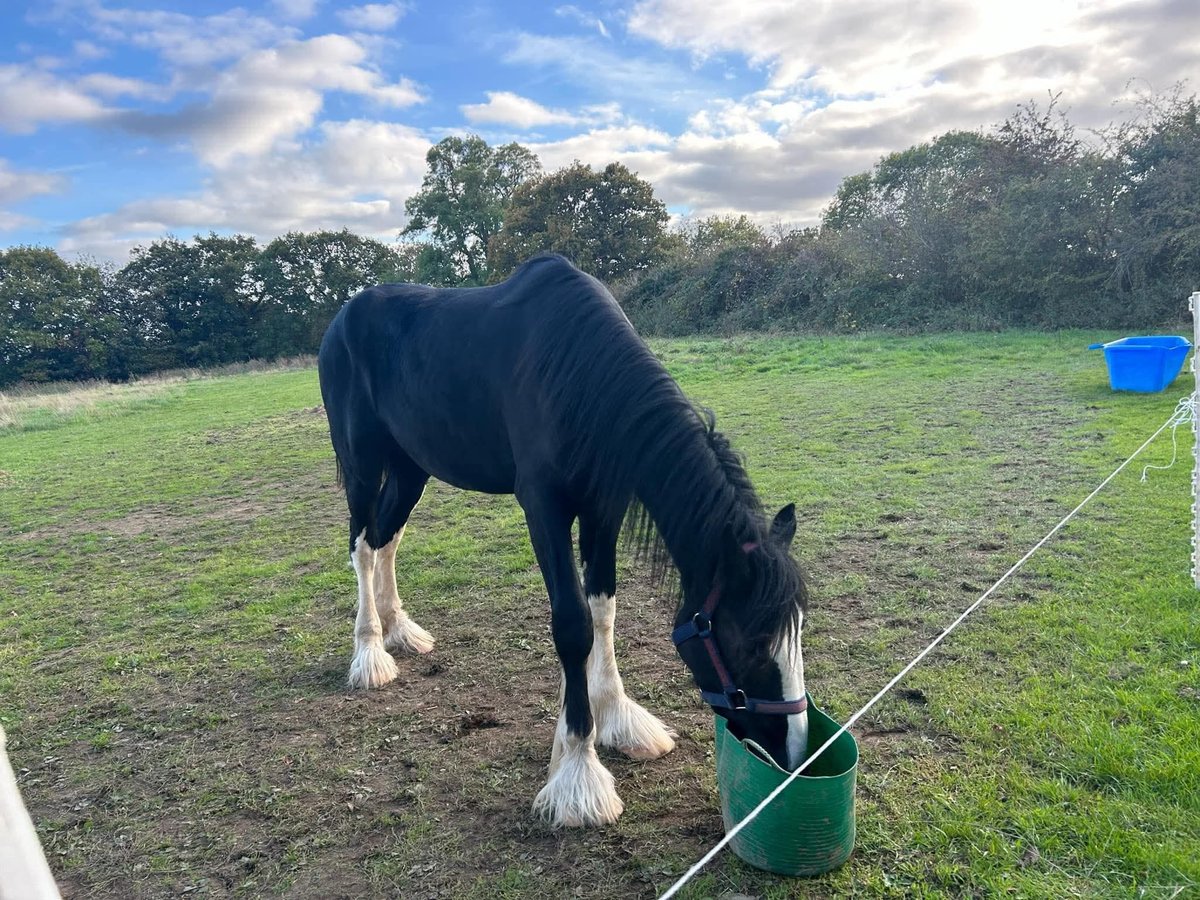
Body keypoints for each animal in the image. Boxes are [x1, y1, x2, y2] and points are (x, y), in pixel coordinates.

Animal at [317, 254, 809, 827]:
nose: (796, 752)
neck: (577, 375)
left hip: (410, 466)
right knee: (362, 546)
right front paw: (578, 770)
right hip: (362, 461)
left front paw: (616, 716)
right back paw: (370, 653)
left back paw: (400, 630)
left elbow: (603, 612)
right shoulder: (544, 510)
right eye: (751, 642)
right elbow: (573, 626)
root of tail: (342, 318)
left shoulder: (603, 509)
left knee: (386, 539)